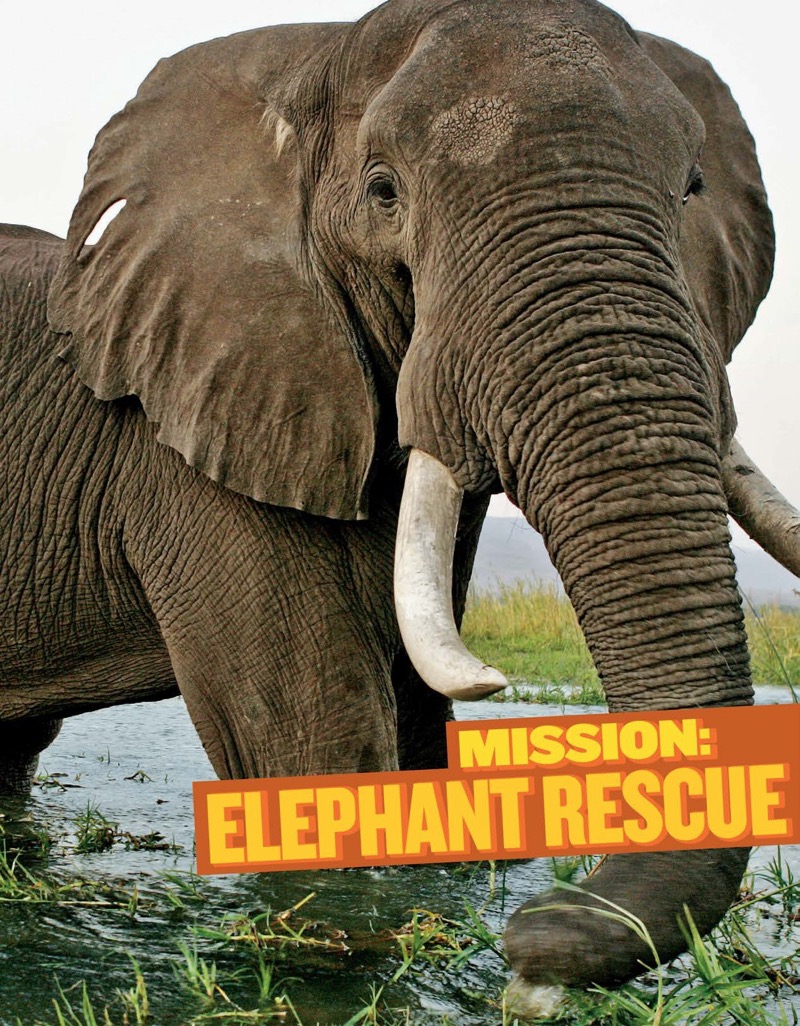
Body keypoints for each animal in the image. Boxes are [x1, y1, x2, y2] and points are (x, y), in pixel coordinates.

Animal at [2, 0, 798, 998]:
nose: (533, 937)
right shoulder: (187, 432)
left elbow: (417, 709)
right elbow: (312, 739)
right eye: (385, 192)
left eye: (693, 187)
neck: (308, 61)